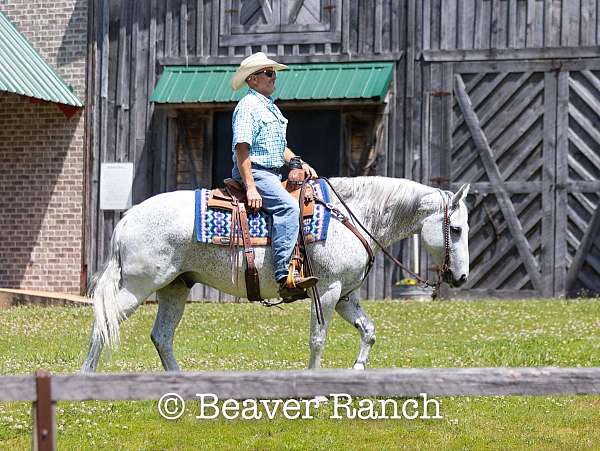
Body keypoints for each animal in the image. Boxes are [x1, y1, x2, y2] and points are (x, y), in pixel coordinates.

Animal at [82, 177, 472, 374]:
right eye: (456, 229)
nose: (462, 277)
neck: (350, 217)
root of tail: (129, 217)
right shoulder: (326, 291)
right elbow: (318, 339)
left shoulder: (346, 296)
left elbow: (369, 331)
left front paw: (358, 369)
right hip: (136, 287)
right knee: (103, 325)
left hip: (175, 288)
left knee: (161, 336)